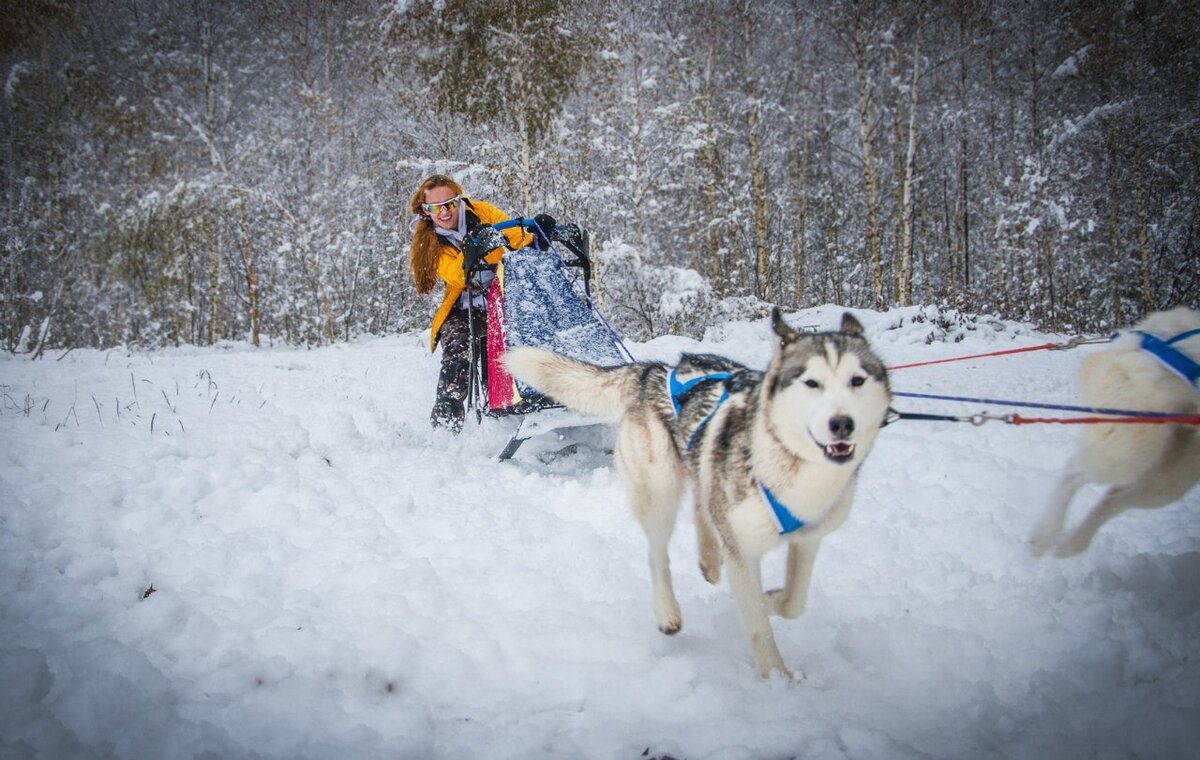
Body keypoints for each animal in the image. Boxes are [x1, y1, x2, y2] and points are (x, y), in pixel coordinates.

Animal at [506, 307, 892, 677]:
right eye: (811, 382)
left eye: (857, 380)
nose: (842, 424)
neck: (791, 466)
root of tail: (654, 371)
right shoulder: (742, 552)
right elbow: (758, 624)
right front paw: (778, 680)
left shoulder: (809, 539)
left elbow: (793, 603)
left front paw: (771, 600)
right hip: (659, 493)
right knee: (658, 554)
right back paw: (669, 612)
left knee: (701, 507)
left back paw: (709, 561)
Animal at [1032, 304, 1200, 559]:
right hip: (1131, 447)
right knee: (1075, 469)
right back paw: (1045, 536)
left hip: (1173, 475)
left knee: (1116, 496)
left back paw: (1071, 543)